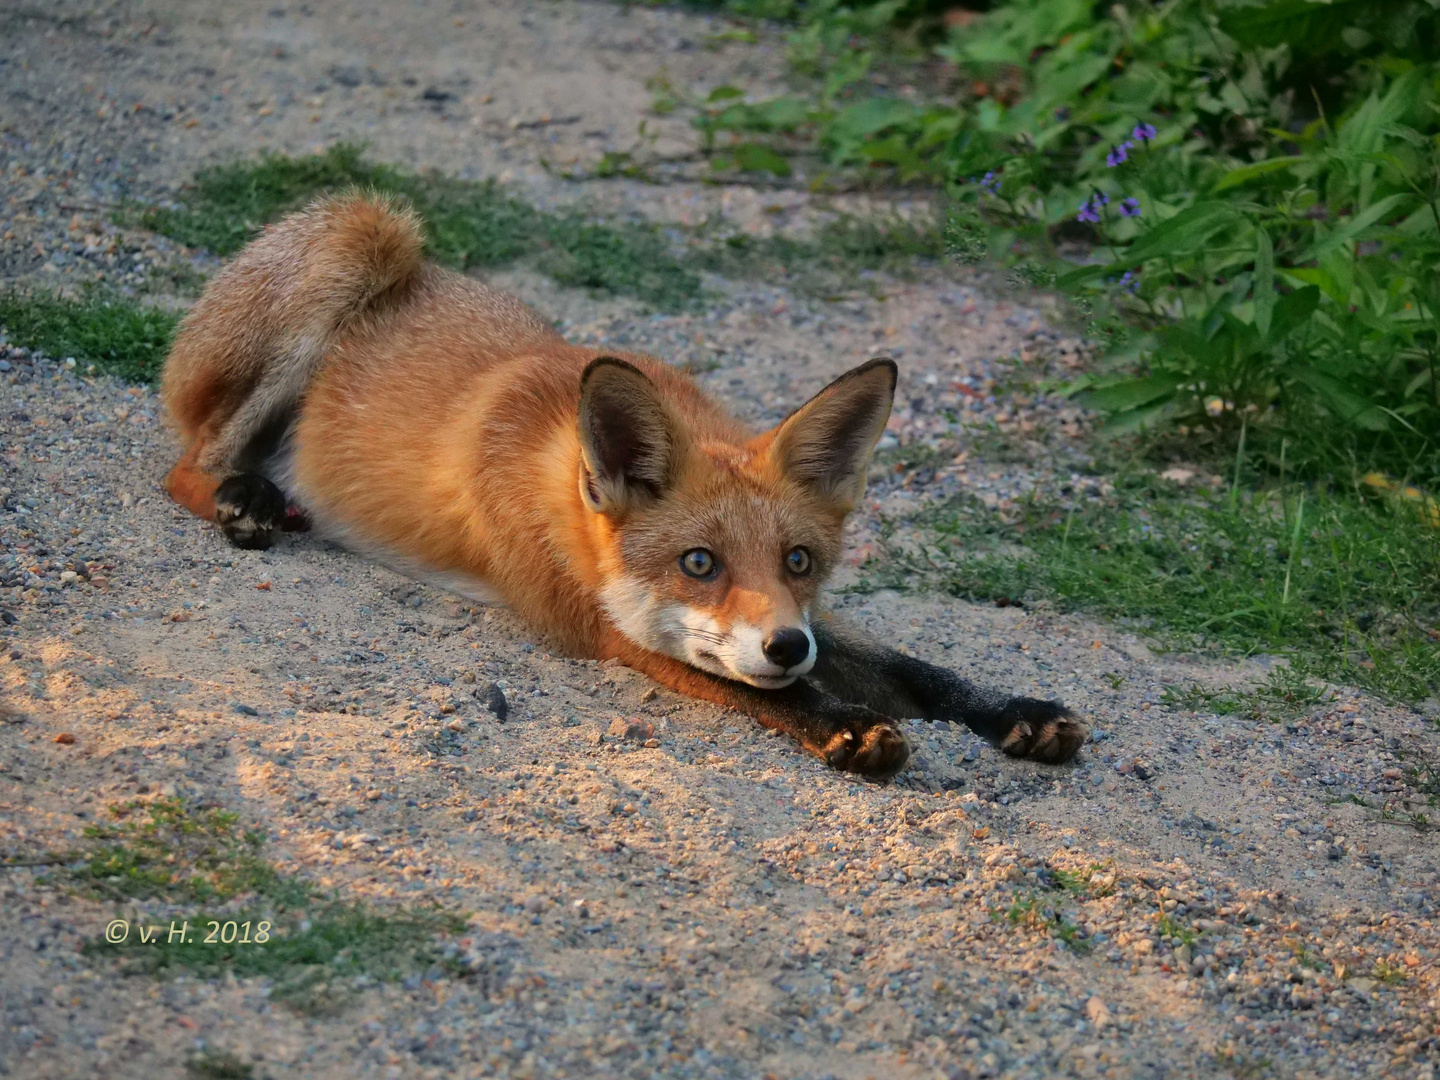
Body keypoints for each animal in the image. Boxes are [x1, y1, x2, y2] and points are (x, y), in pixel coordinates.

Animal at [157, 194, 1082, 783]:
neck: (564, 480)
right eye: (698, 563)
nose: (786, 646)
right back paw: (246, 499)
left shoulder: (808, 617)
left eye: (800, 560)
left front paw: (1011, 708)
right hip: (362, 241)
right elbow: (754, 686)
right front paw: (845, 724)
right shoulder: (594, 626)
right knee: (184, 465)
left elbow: (917, 669)